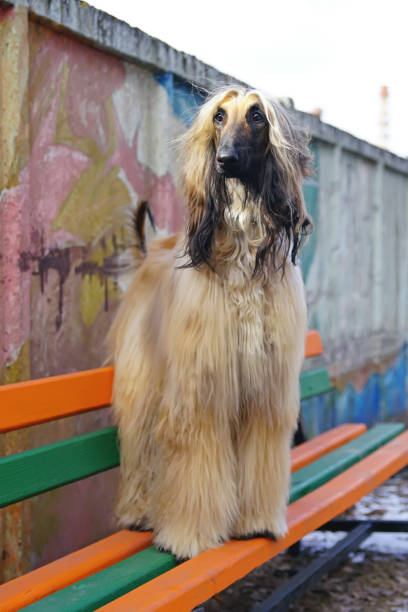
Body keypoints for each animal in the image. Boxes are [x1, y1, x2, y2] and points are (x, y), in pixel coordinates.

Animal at [107, 86, 310, 560]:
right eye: (219, 116)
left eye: (257, 116)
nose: (226, 159)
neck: (244, 251)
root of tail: (151, 253)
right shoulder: (202, 383)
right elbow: (196, 454)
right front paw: (189, 537)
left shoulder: (265, 389)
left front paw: (256, 523)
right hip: (144, 374)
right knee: (140, 437)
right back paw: (139, 511)